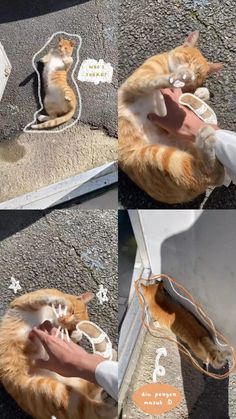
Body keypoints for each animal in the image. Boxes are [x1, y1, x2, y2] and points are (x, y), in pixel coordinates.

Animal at [0, 288, 117, 419]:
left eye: (71, 326)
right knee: (92, 401)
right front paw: (60, 301)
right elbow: (44, 298)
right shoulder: (22, 302)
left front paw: (76, 333)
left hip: (54, 391)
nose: (63, 320)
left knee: (93, 409)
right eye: (72, 311)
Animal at [119, 30, 224, 204]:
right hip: (155, 156)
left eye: (198, 74)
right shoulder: (136, 82)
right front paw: (176, 78)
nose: (190, 75)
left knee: (209, 174)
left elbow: (190, 96)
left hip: (165, 156)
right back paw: (206, 139)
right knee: (210, 174)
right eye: (187, 60)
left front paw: (201, 92)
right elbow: (153, 80)